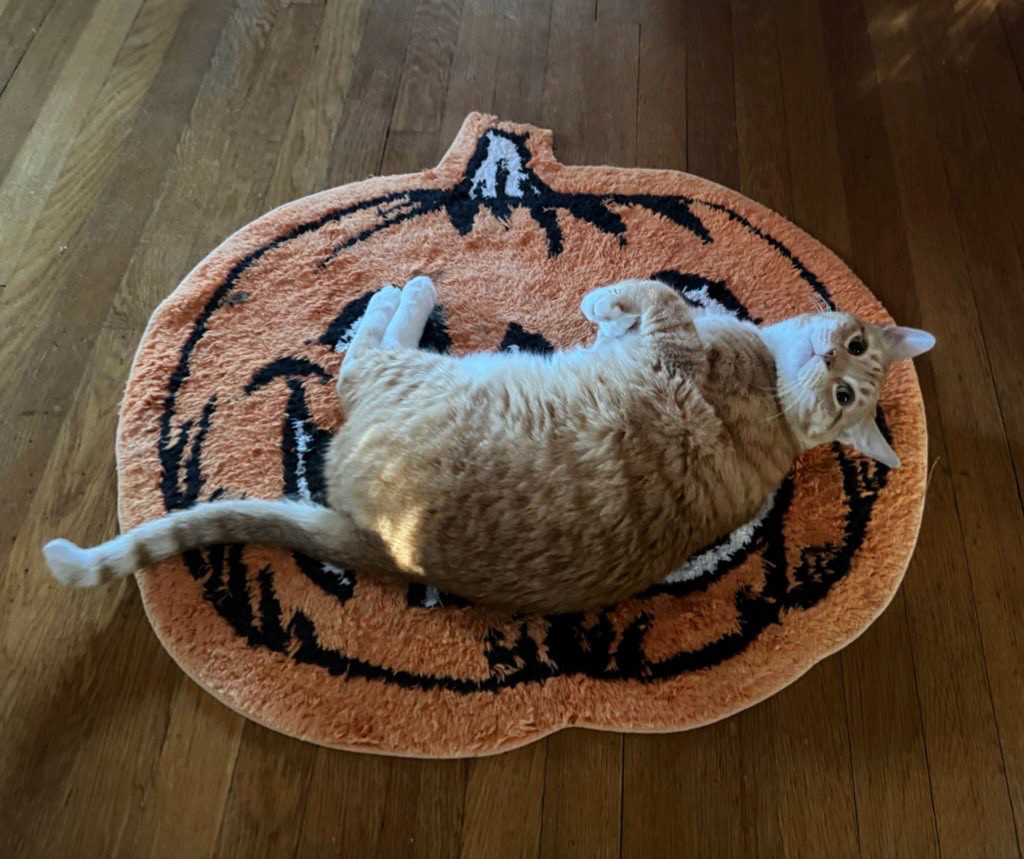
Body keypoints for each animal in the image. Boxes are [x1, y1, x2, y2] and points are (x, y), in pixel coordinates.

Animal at [39, 276, 937, 610]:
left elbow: (654, 295)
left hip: (415, 377)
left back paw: (404, 291)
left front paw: (603, 298)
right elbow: (649, 302)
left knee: (366, 352)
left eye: (849, 390)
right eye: (857, 350)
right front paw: (604, 312)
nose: (832, 362)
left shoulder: (674, 346)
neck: (776, 391)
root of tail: (388, 547)